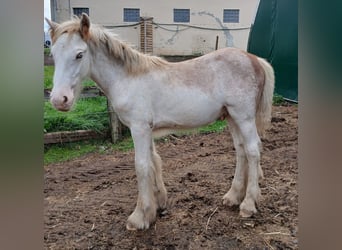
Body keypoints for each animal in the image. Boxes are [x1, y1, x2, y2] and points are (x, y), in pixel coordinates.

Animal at [46, 14, 276, 230]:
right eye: (53, 55)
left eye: (79, 54)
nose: (59, 100)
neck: (128, 78)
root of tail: (255, 59)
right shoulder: (146, 129)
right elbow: (153, 161)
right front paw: (157, 205)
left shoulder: (138, 128)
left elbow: (141, 166)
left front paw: (139, 217)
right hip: (231, 118)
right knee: (241, 150)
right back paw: (233, 196)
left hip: (243, 117)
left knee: (253, 150)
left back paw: (248, 204)